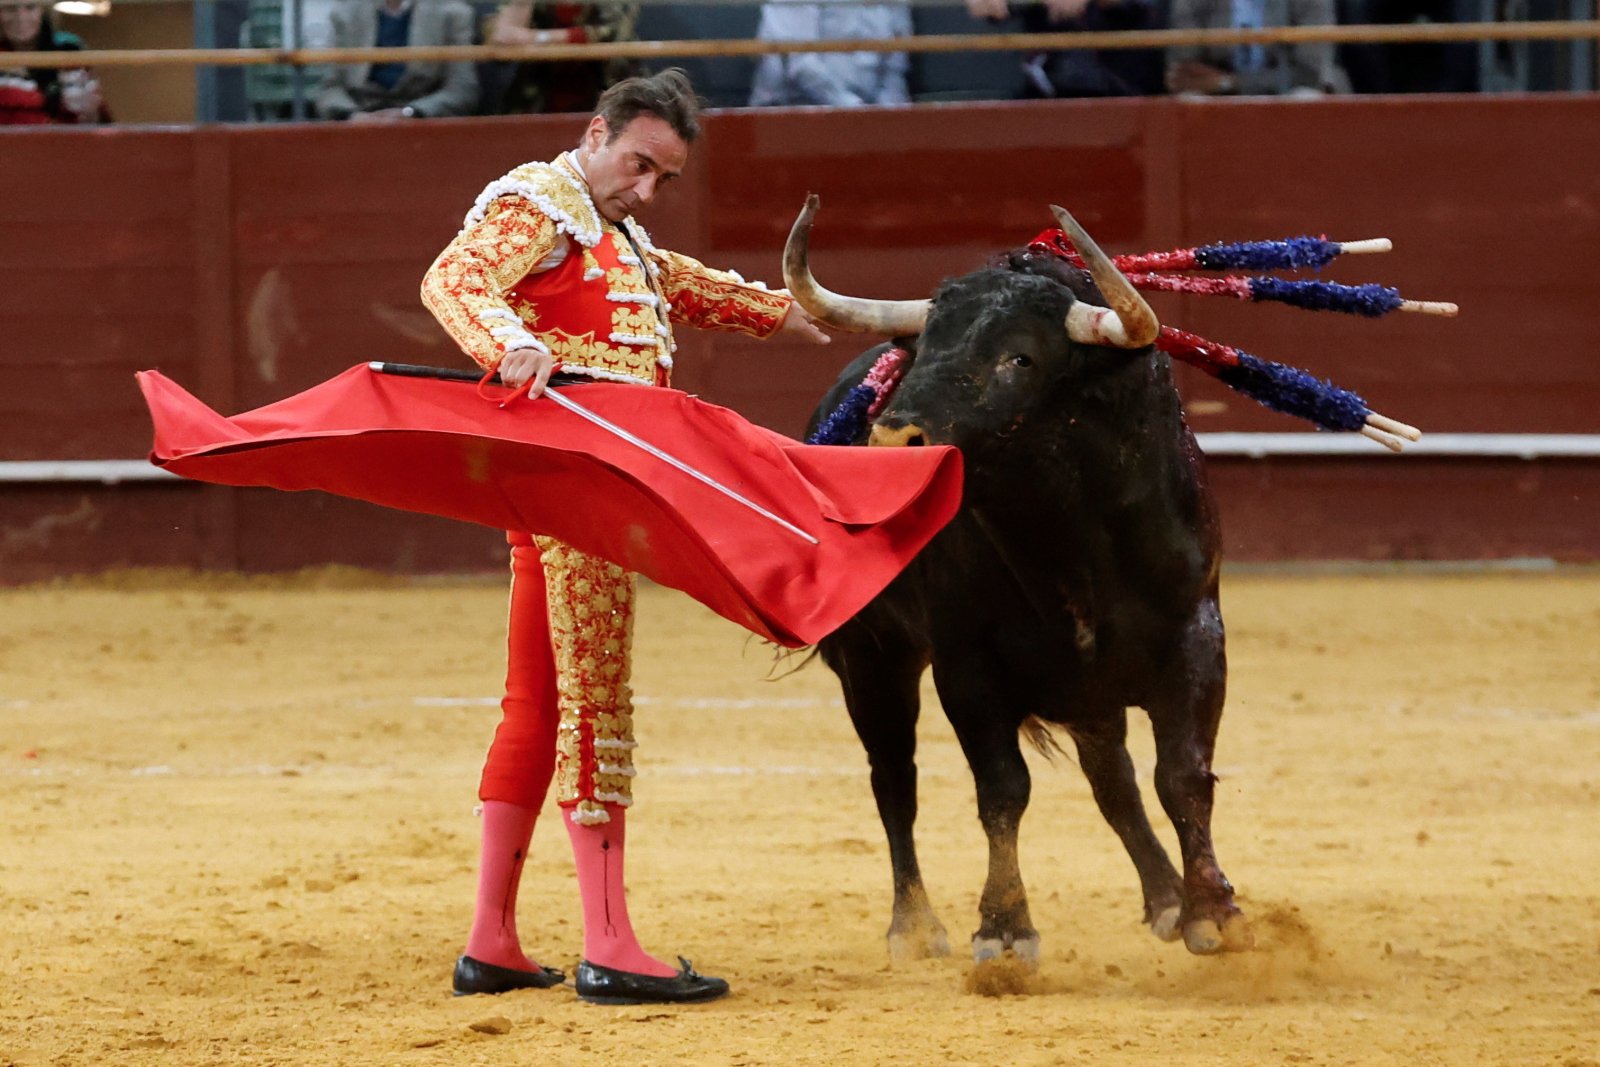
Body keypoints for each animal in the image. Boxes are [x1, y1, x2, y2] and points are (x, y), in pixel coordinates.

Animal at [784, 195, 1248, 966]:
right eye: (924, 350)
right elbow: (1002, 789)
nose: (890, 441)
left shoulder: (1195, 639)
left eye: (1020, 357)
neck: (1069, 533)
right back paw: (914, 926)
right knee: (894, 777)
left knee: (1113, 779)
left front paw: (1211, 909)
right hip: (872, 656)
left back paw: (1165, 898)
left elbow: (1181, 775)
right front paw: (1003, 929)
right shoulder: (969, 667)